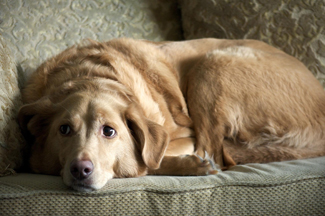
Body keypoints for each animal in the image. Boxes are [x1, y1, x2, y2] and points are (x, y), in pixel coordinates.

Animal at [19, 38, 324, 192]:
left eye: (109, 131)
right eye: (64, 130)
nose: (80, 169)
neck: (89, 74)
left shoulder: (182, 135)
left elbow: (147, 160)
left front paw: (192, 165)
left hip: (212, 64)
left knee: (215, 152)